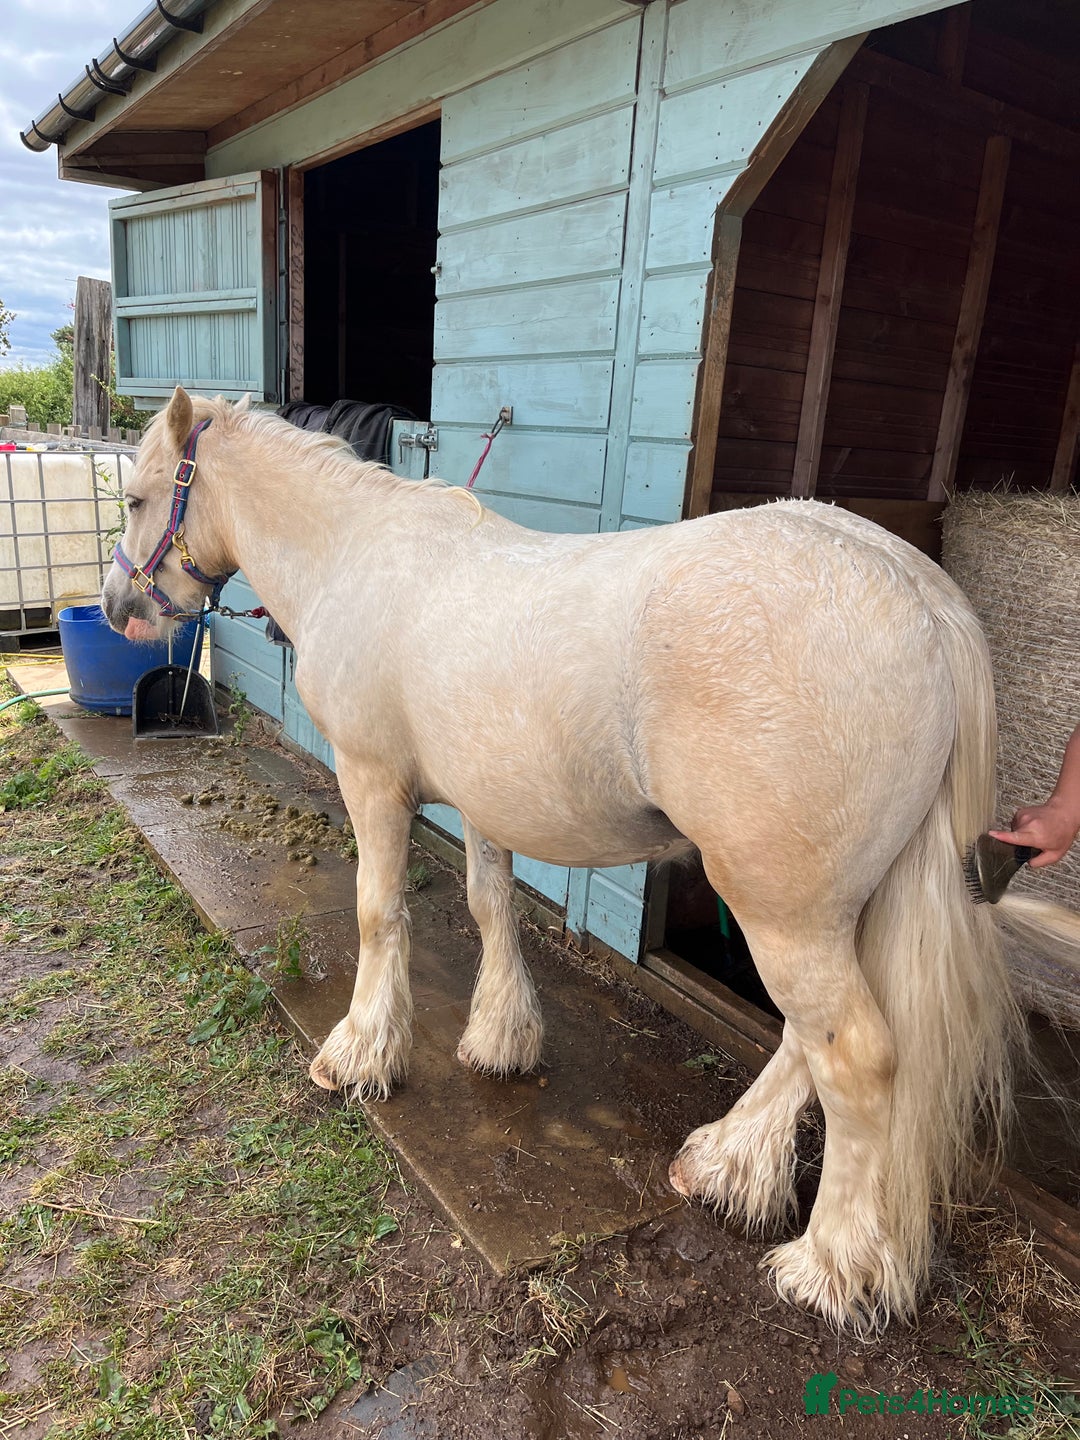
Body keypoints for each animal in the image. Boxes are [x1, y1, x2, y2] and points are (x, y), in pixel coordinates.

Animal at [101, 386, 1079, 1333]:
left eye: (138, 499)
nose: (118, 608)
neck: (356, 555)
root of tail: (925, 601)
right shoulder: (485, 802)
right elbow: (492, 906)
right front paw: (501, 1039)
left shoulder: (371, 779)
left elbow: (382, 911)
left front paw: (359, 1056)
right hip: (836, 906)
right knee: (809, 1042)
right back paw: (726, 1165)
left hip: (785, 909)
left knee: (856, 1059)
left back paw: (829, 1267)